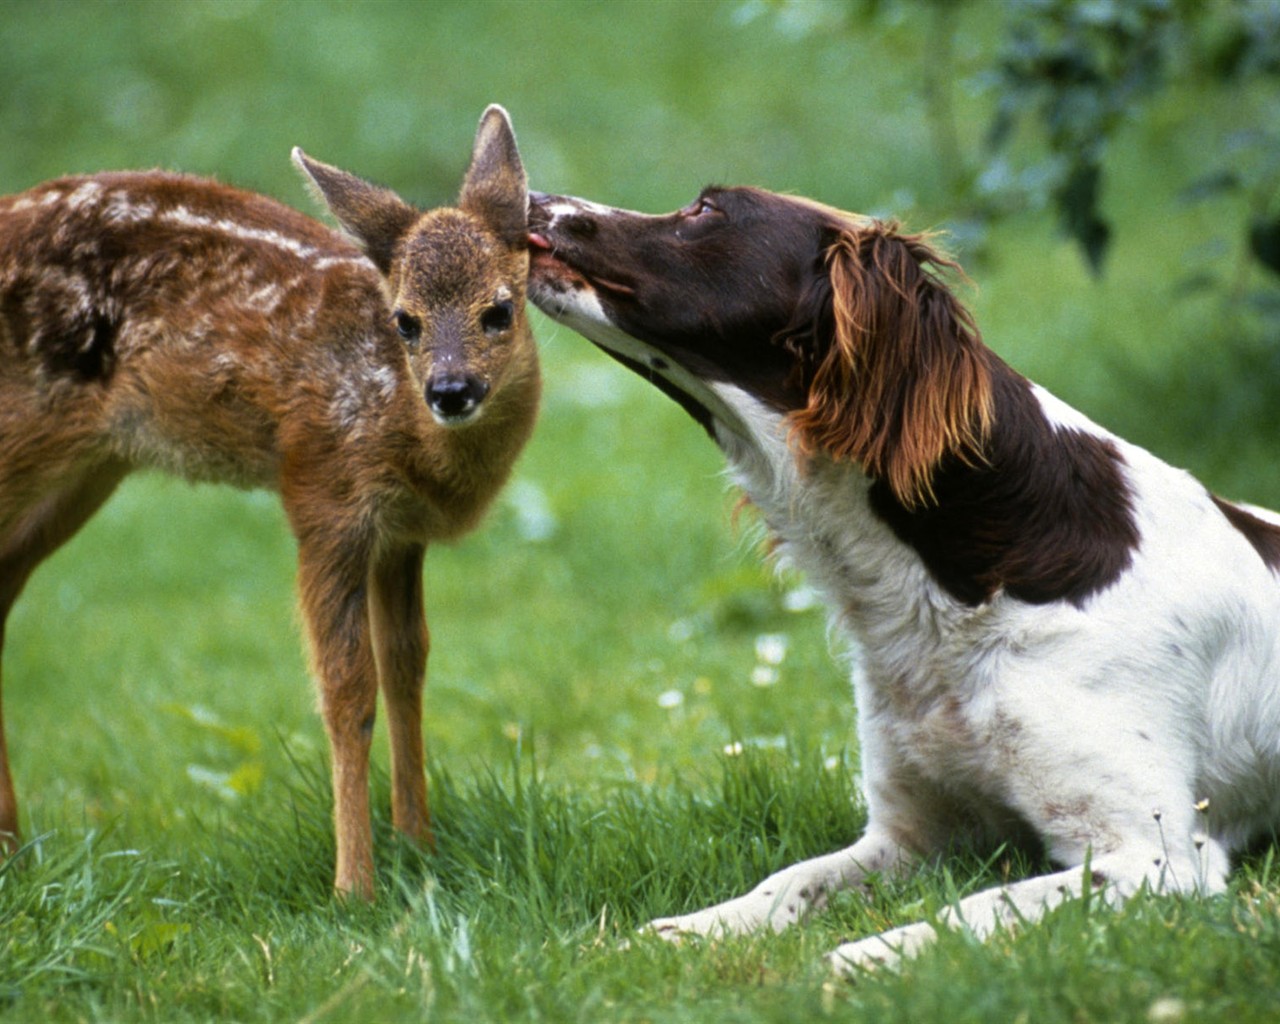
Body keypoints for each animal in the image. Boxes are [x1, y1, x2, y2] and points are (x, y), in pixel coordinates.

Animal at [0, 106, 540, 896]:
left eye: (498, 311)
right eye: (405, 320)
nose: (450, 390)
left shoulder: (399, 532)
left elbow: (407, 667)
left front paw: (420, 846)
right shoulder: (322, 492)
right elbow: (347, 689)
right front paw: (355, 888)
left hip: (90, 468)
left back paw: (12, 846)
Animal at [524, 185, 1280, 977]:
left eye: (707, 210)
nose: (533, 196)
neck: (962, 587)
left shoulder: (1155, 856)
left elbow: (972, 909)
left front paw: (855, 960)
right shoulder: (914, 834)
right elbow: (787, 881)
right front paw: (683, 933)